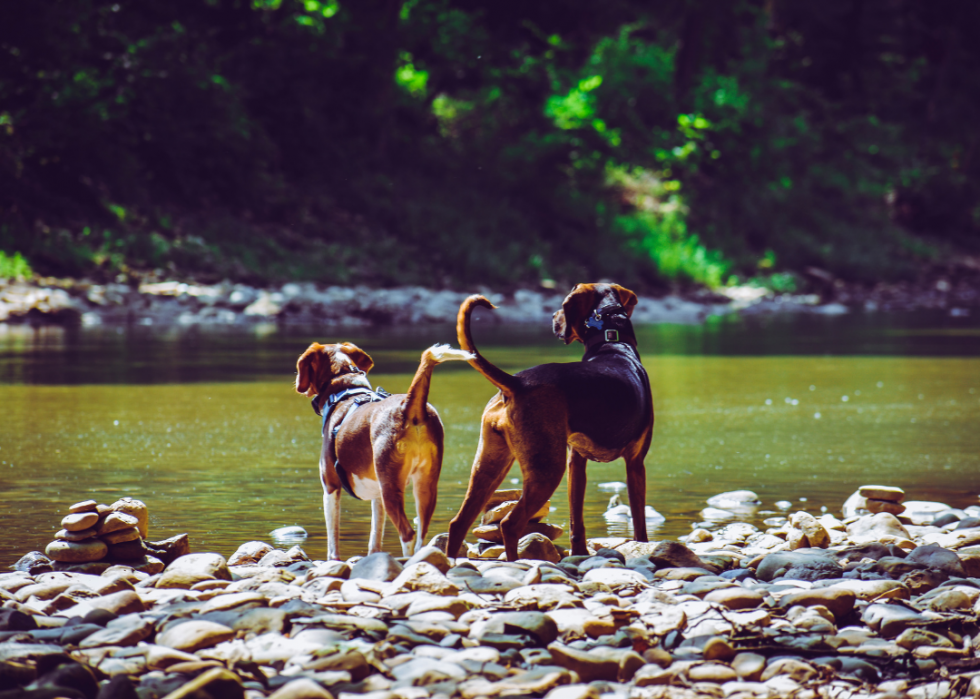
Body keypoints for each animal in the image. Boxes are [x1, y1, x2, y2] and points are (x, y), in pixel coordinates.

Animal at [294, 342, 470, 560]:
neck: (345, 390)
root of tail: (409, 406)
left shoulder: (330, 486)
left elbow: (333, 539)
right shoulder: (377, 495)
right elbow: (375, 535)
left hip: (391, 489)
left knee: (408, 534)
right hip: (425, 486)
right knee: (421, 534)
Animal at [448, 282, 656, 560]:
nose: (553, 318)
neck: (612, 342)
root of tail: (517, 382)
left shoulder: (576, 462)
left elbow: (576, 521)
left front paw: (579, 553)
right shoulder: (635, 463)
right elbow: (639, 521)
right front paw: (642, 545)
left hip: (489, 465)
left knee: (458, 523)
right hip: (546, 471)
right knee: (510, 524)